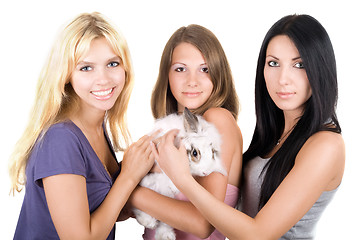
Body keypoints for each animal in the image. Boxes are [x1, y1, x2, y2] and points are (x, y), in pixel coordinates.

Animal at [134, 108, 226, 240]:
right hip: (148, 184)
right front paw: (174, 186)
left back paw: (165, 235)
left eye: (212, 152)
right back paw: (149, 222)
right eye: (194, 153)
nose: (205, 172)